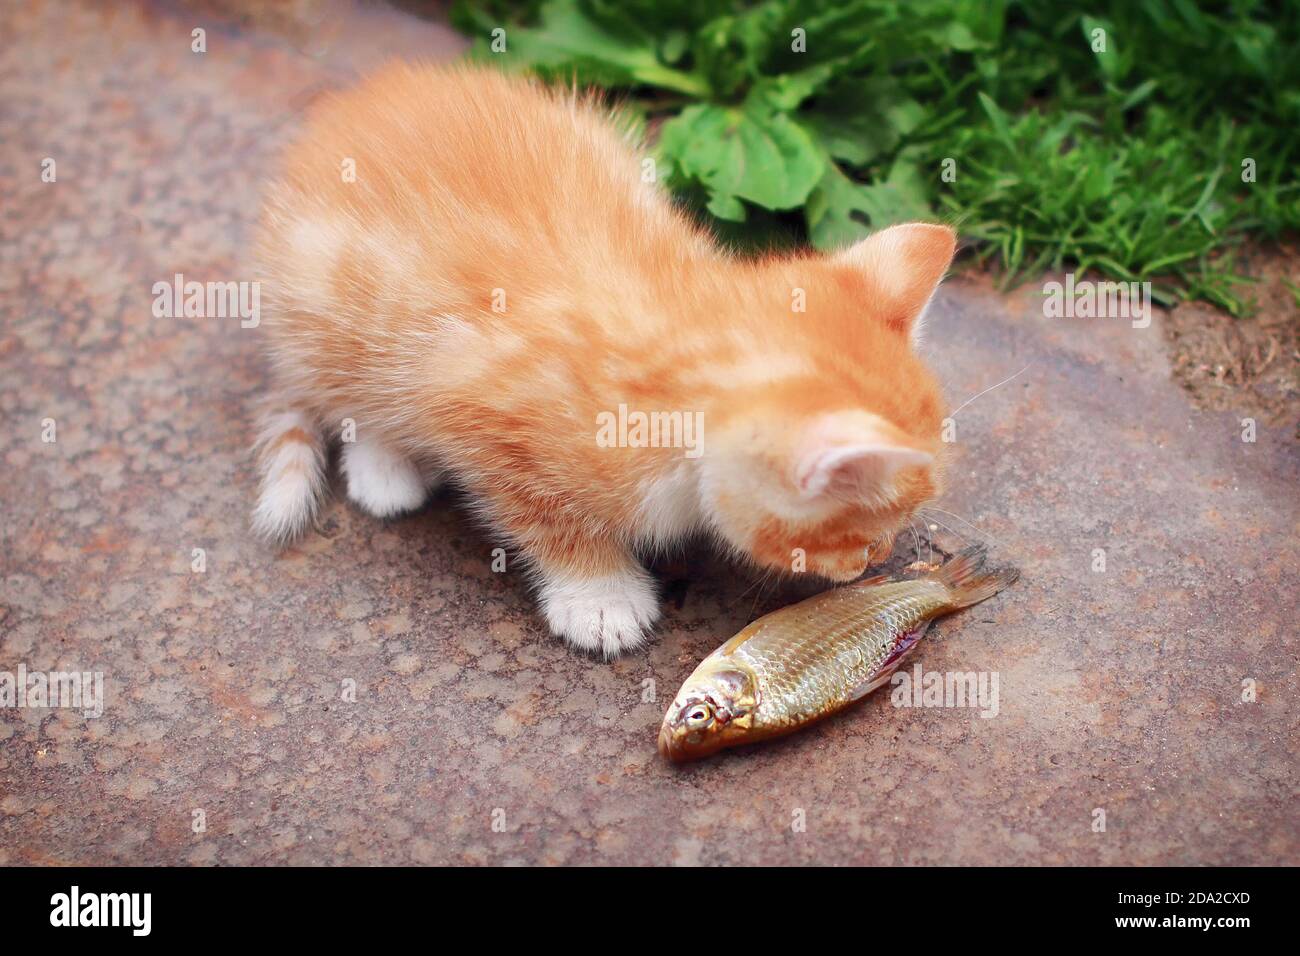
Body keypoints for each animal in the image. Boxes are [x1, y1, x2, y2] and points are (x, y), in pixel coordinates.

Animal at [250, 61, 956, 658]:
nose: (876, 560)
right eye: (864, 529)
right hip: (330, 300)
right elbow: (543, 512)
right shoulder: (474, 396)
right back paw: (384, 466)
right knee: (344, 389)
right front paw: (597, 595)